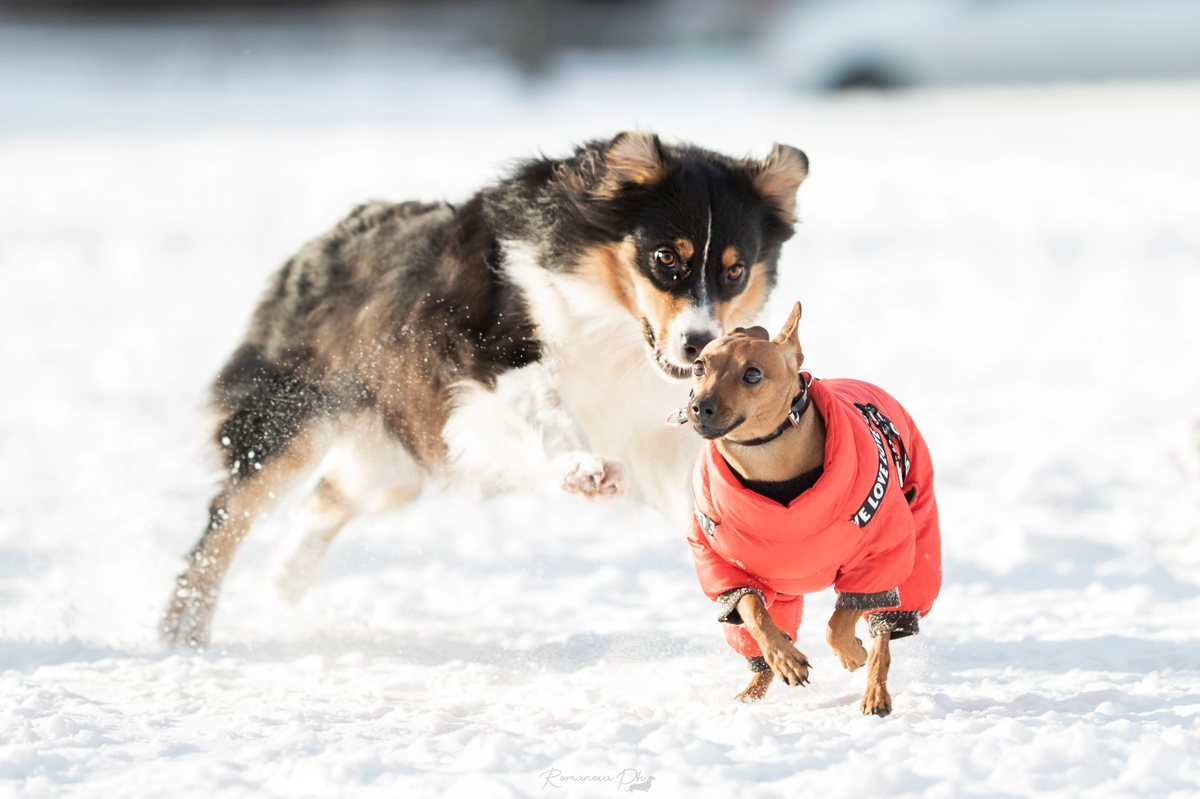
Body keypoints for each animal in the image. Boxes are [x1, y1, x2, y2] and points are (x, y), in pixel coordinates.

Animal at [681, 302, 940, 710]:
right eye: (698, 366)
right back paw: (753, 690)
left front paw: (851, 652)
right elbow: (753, 610)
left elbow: (841, 621)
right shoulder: (724, 565)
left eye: (752, 374)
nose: (699, 407)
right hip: (783, 588)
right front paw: (785, 659)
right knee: (763, 631)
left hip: (916, 548)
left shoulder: (879, 555)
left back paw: (875, 691)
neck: (769, 464)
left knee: (885, 628)